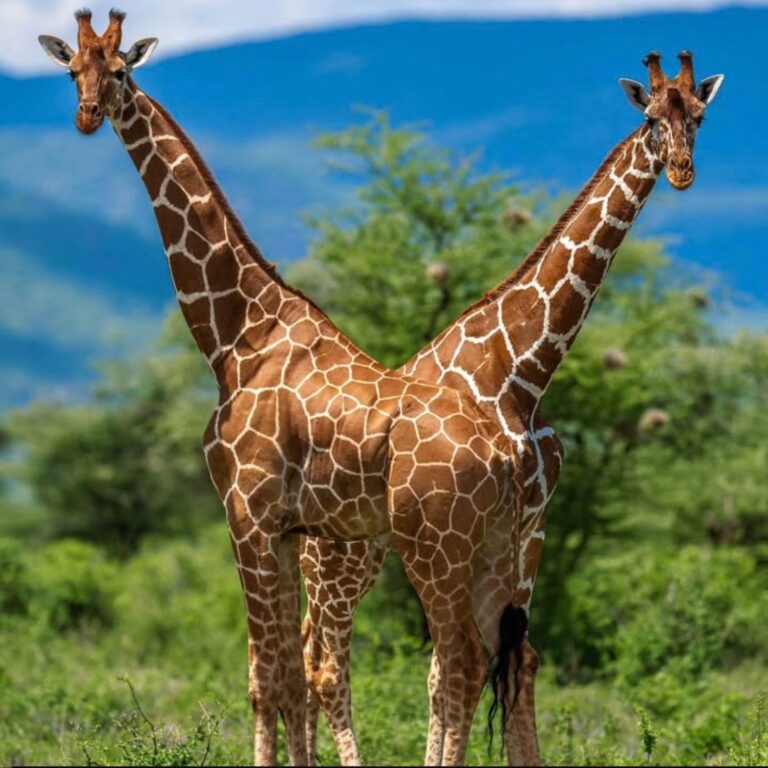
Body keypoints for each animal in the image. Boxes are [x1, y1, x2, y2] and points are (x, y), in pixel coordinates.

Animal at [38, 10, 535, 766]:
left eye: (120, 70)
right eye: (73, 71)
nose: (89, 114)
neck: (237, 335)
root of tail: (505, 452)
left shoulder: (245, 515)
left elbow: (267, 678)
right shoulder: (285, 528)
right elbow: (289, 679)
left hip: (437, 546)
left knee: (462, 664)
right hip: (496, 548)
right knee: (501, 663)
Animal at [300, 50, 725, 765]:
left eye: (698, 114)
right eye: (649, 118)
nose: (682, 171)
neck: (519, 369)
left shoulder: (529, 526)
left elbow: (511, 660)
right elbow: (459, 669)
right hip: (339, 562)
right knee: (327, 665)